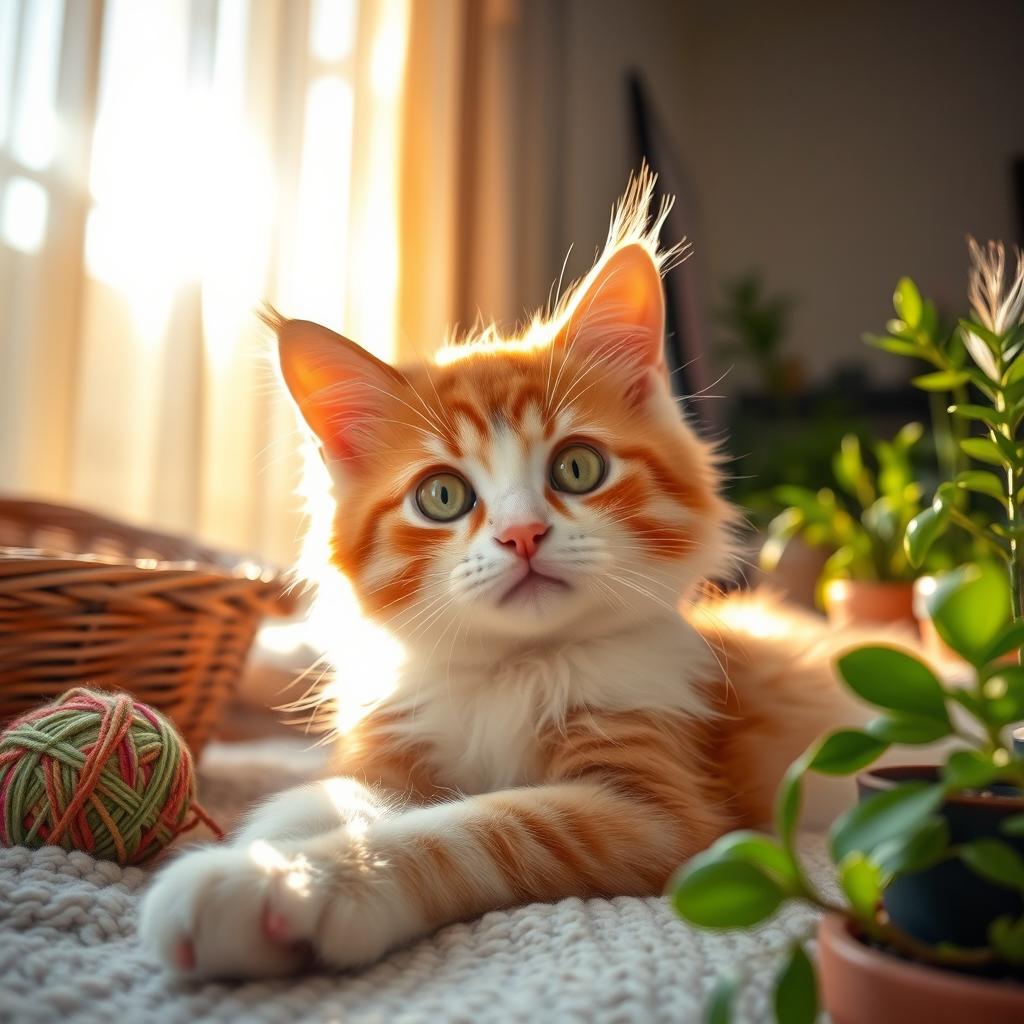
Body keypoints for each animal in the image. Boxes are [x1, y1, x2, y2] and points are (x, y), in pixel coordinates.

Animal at [138, 174, 864, 974]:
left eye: (578, 469)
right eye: (442, 496)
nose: (523, 535)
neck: (511, 673)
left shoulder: (658, 806)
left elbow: (480, 824)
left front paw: (287, 881)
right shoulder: (389, 744)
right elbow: (326, 793)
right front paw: (268, 844)